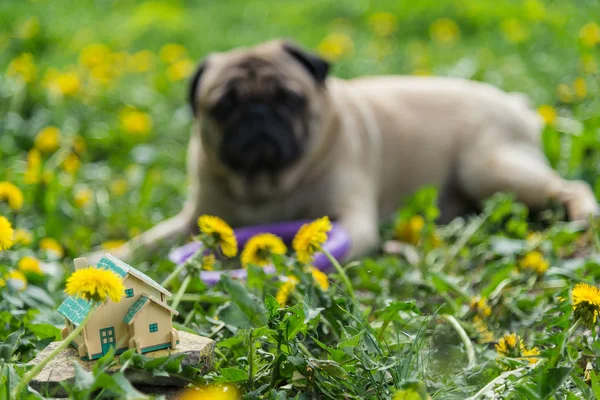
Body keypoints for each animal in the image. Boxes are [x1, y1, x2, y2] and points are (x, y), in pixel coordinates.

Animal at [91, 39, 596, 264]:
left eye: (287, 98)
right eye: (224, 106)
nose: (257, 115)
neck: (265, 187)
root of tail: (517, 103)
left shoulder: (350, 221)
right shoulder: (189, 222)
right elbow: (147, 243)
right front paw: (109, 259)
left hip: (489, 168)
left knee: (570, 185)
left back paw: (582, 216)